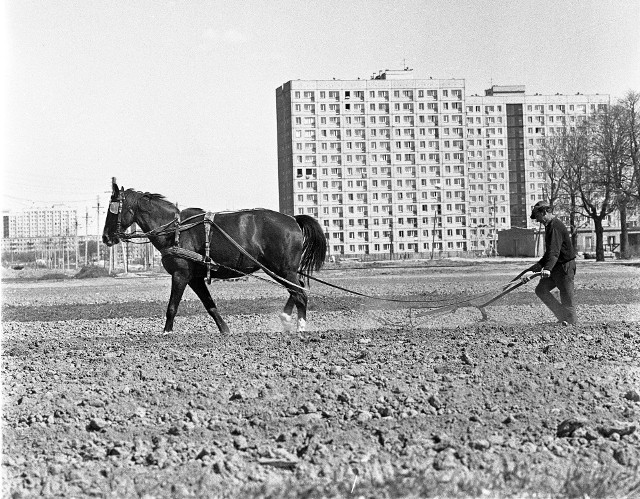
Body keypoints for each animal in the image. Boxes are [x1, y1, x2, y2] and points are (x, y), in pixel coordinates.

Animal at [104, 182, 330, 334]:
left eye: (112, 210)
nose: (105, 237)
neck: (175, 230)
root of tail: (293, 219)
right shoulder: (195, 278)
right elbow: (209, 305)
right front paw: (225, 330)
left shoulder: (180, 274)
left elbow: (172, 306)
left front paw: (166, 333)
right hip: (276, 269)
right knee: (297, 289)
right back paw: (286, 318)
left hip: (282, 268)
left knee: (299, 292)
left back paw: (300, 327)